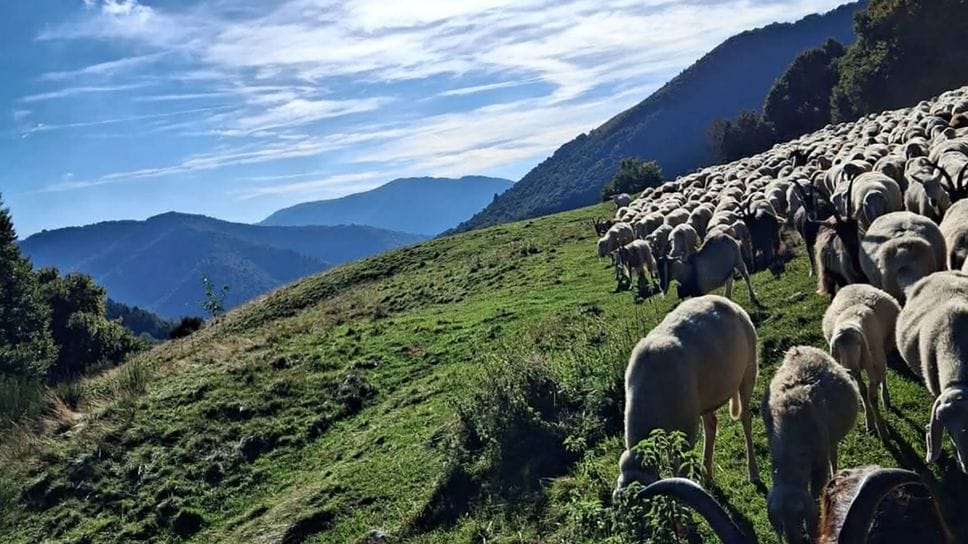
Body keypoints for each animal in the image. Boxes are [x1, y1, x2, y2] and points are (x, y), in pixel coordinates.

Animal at [614, 295, 759, 497]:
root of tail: (725, 300)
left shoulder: (686, 430)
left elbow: (680, 468)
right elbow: (672, 461)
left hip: (748, 371)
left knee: (745, 419)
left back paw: (753, 472)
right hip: (704, 398)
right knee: (711, 425)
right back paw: (707, 476)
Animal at [762, 346, 860, 544]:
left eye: (800, 518)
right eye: (780, 523)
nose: (794, 542)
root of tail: (799, 348)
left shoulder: (819, 464)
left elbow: (816, 494)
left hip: (830, 438)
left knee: (833, 455)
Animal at [822, 284, 900, 440]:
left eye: (858, 344)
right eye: (838, 347)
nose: (849, 368)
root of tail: (853, 284)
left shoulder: (873, 363)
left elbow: (872, 396)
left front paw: (882, 430)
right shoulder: (856, 373)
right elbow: (862, 391)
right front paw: (869, 422)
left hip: (882, 351)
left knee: (883, 376)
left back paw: (886, 399)